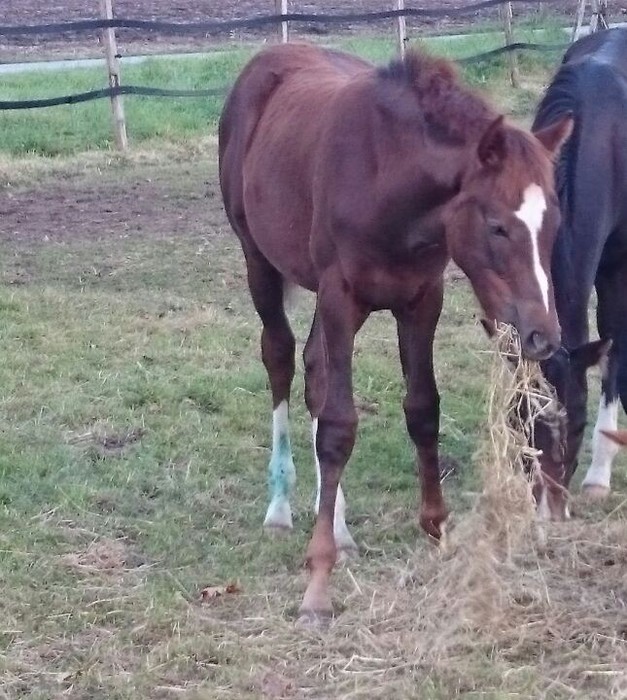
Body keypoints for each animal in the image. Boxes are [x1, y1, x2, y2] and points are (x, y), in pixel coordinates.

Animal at [219, 42, 571, 620]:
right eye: (497, 226)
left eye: (554, 226)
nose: (543, 336)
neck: (390, 180)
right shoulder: (340, 297)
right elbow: (339, 426)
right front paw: (318, 581)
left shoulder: (422, 300)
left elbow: (422, 409)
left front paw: (434, 527)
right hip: (259, 262)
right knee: (281, 357)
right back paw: (281, 506)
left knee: (315, 368)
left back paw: (338, 524)